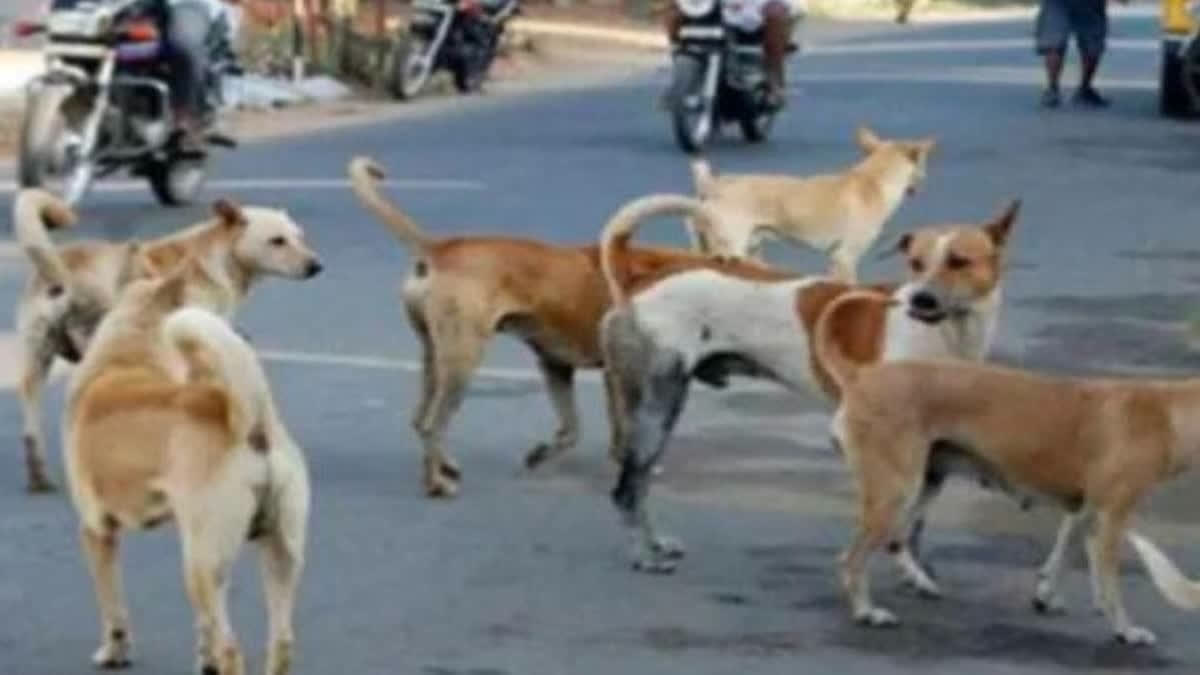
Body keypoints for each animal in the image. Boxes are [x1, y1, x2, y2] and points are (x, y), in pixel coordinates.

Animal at [348, 154, 787, 497]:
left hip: (434, 356)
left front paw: (544, 453)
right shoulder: (618, 376)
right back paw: (437, 483)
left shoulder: (556, 366)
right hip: (462, 360)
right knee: (433, 423)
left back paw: (442, 468)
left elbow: (572, 429)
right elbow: (621, 427)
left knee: (420, 420)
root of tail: (439, 248)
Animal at [604, 196, 1017, 569]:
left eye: (959, 261)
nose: (921, 300)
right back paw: (643, 556)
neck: (947, 334)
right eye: (915, 263)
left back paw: (654, 543)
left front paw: (917, 572)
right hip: (656, 407)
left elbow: (914, 524)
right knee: (627, 488)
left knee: (640, 482)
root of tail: (640, 279)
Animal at [691, 124, 931, 279]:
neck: (871, 181)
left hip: (744, 249)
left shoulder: (834, 259)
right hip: (733, 250)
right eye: (923, 166)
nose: (922, 180)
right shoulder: (845, 257)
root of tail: (714, 185)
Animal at [816, 289, 1200, 638]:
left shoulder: (1084, 513)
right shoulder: (1111, 518)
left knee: (895, 541)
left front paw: (1046, 595)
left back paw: (918, 583)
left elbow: (1062, 555)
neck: (1171, 413)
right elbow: (1108, 584)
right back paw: (866, 612)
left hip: (924, 484)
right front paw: (1127, 630)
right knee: (852, 559)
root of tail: (860, 376)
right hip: (895, 491)